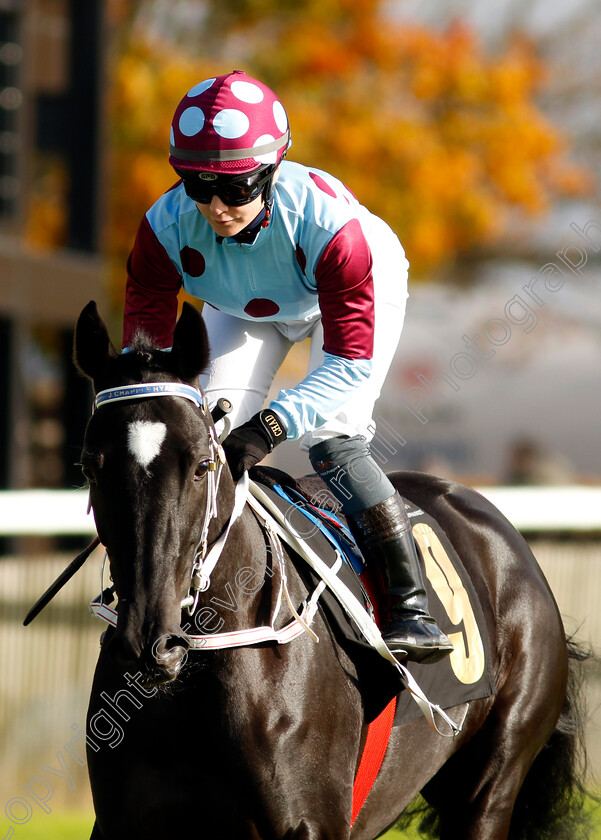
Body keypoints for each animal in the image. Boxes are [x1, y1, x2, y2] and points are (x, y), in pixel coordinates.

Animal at [72, 298, 588, 836]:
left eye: (201, 465)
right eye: (90, 466)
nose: (149, 645)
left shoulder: (309, 823)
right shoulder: (124, 822)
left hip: (491, 784)